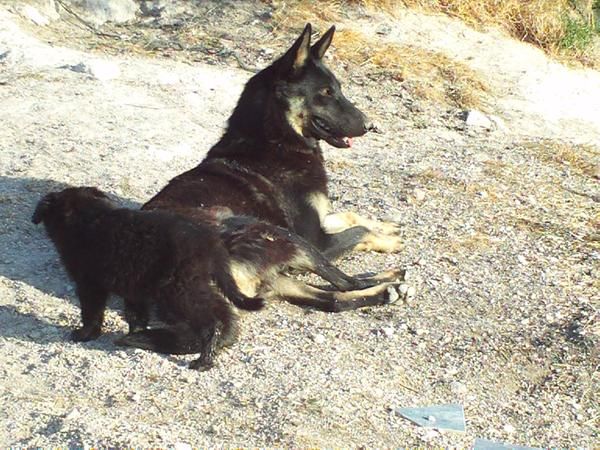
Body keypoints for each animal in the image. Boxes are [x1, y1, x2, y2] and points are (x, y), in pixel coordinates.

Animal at [32, 186, 262, 370]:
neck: (86, 218)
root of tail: (212, 245)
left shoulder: (89, 283)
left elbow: (91, 312)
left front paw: (85, 335)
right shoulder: (133, 288)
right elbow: (136, 316)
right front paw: (134, 335)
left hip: (179, 289)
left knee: (212, 321)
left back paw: (204, 360)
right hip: (194, 285)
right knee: (223, 311)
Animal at [145, 22, 406, 312]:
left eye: (338, 88)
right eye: (326, 92)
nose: (369, 125)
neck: (279, 141)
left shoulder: (318, 222)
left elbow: (349, 216)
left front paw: (385, 226)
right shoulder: (317, 240)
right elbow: (358, 231)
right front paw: (387, 238)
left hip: (278, 274)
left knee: (335, 299)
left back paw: (389, 287)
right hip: (289, 241)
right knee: (346, 283)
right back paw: (391, 278)